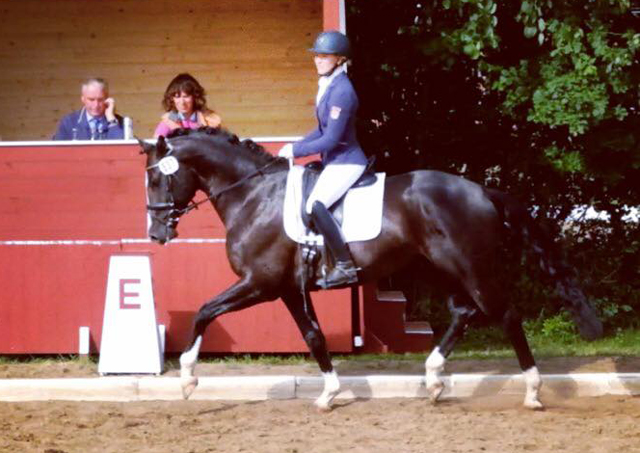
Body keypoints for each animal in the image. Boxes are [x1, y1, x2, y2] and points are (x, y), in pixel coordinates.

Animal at [139, 126, 600, 410]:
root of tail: (481, 189)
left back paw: (533, 391)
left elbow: (204, 311)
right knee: (464, 312)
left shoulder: (260, 283)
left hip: (472, 267)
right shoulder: (287, 288)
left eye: (157, 180)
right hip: (438, 268)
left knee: (505, 314)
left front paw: (187, 379)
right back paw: (434, 380)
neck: (254, 195)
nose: (156, 233)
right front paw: (330, 393)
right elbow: (314, 337)